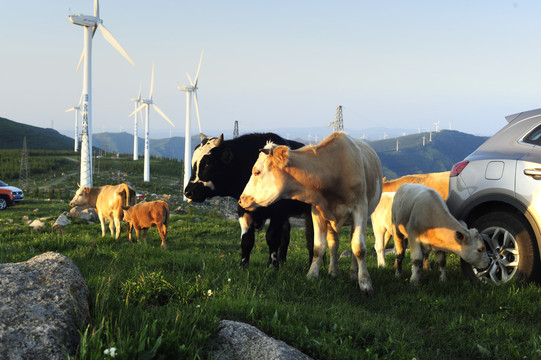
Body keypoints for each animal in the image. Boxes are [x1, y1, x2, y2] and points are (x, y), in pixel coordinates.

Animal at [185, 132, 314, 268]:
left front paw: (272, 266)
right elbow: (247, 240)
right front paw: (243, 265)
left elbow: (272, 237)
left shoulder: (278, 212)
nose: (188, 192)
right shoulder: (243, 210)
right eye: (193, 164)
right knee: (286, 234)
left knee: (312, 237)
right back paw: (283, 262)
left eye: (207, 163)